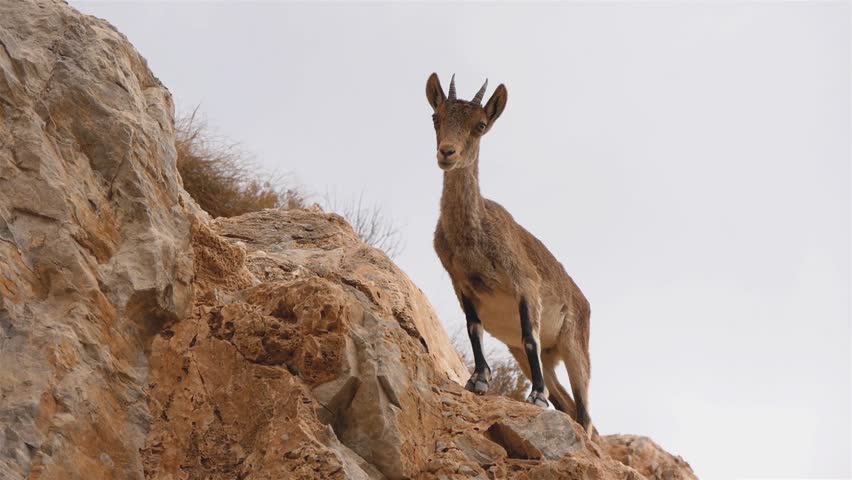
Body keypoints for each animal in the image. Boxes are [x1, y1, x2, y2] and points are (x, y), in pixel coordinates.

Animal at [426, 73, 593, 431]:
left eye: (480, 125)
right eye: (436, 116)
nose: (447, 153)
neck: (473, 239)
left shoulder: (525, 284)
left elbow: (530, 335)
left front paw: (536, 396)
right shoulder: (461, 284)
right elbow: (473, 328)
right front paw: (479, 380)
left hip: (576, 347)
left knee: (585, 412)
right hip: (536, 355)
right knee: (567, 403)